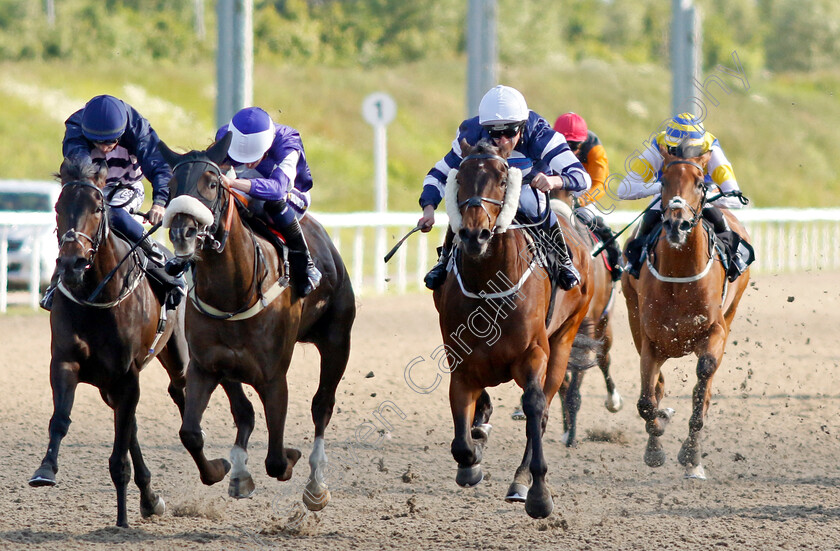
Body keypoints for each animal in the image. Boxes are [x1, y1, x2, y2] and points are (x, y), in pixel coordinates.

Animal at [29, 157, 251, 528]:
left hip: (177, 356)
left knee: (181, 395)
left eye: (98, 207)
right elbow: (61, 419)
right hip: (110, 384)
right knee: (132, 422)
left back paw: (213, 468)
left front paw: (122, 519)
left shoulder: (127, 374)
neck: (97, 295)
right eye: (58, 207)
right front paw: (46, 470)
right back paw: (149, 497)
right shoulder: (66, 362)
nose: (71, 263)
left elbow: (121, 453)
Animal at [159, 135, 356, 512]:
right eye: (171, 185)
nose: (182, 231)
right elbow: (191, 432)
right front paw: (224, 470)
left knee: (322, 405)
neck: (233, 295)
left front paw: (292, 457)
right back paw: (239, 471)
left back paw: (316, 484)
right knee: (244, 412)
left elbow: (277, 459)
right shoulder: (207, 365)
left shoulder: (273, 377)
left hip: (337, 341)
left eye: (212, 183)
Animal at [436, 140, 592, 520]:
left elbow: (534, 407)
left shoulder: (533, 354)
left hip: (564, 340)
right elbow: (462, 440)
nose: (474, 234)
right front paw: (473, 456)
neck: (488, 283)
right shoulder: (460, 361)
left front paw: (538, 493)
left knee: (544, 410)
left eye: (503, 179)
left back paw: (522, 482)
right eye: (459, 177)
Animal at [552, 194, 624, 448]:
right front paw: (566, 430)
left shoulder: (585, 330)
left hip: (604, 325)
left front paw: (571, 434)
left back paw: (613, 401)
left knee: (604, 358)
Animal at [620, 146, 752, 478]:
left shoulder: (715, 331)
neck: (680, 275)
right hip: (632, 314)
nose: (676, 224)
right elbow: (646, 400)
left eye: (700, 183)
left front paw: (691, 454)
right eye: (664, 181)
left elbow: (703, 381)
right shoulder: (651, 340)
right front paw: (655, 446)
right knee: (657, 386)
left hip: (732, 310)